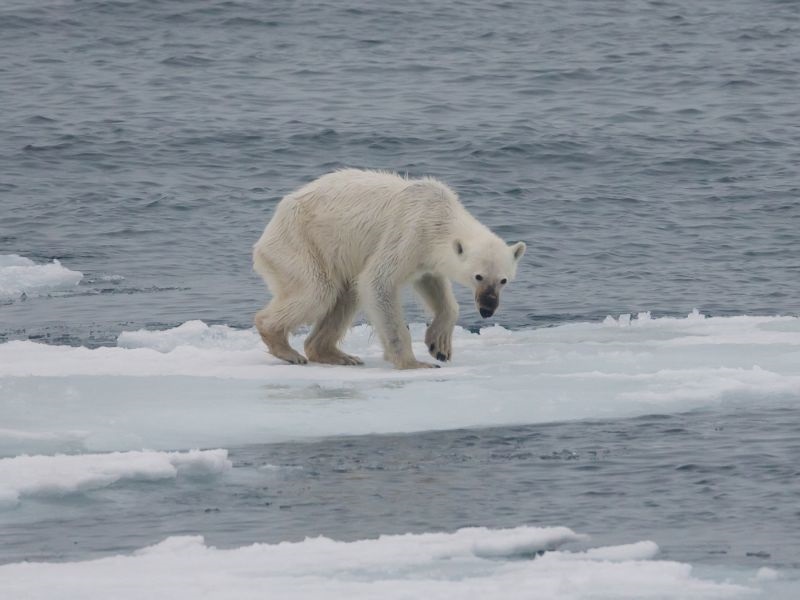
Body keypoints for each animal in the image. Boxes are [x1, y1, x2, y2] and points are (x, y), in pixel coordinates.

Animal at [252, 166, 524, 368]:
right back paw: (285, 347)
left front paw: (439, 346)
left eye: (503, 280)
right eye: (478, 276)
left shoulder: (425, 256)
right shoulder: (409, 233)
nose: (487, 308)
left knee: (346, 295)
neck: (438, 215)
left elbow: (433, 285)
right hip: (300, 242)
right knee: (318, 291)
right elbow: (378, 282)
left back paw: (337, 355)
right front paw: (414, 363)